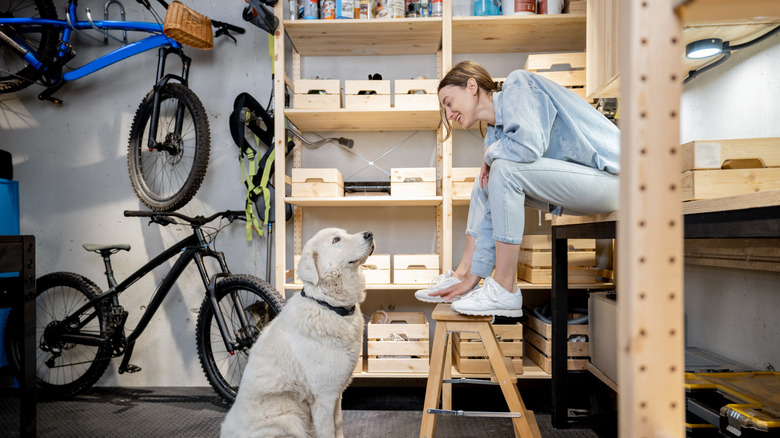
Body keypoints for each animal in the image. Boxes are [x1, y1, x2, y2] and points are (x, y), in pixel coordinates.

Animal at [221, 228, 376, 436]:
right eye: (336, 240)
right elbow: (328, 432)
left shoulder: (336, 394)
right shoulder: (324, 397)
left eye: (344, 233)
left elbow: (339, 426)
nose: (370, 234)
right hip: (291, 418)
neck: (328, 305)